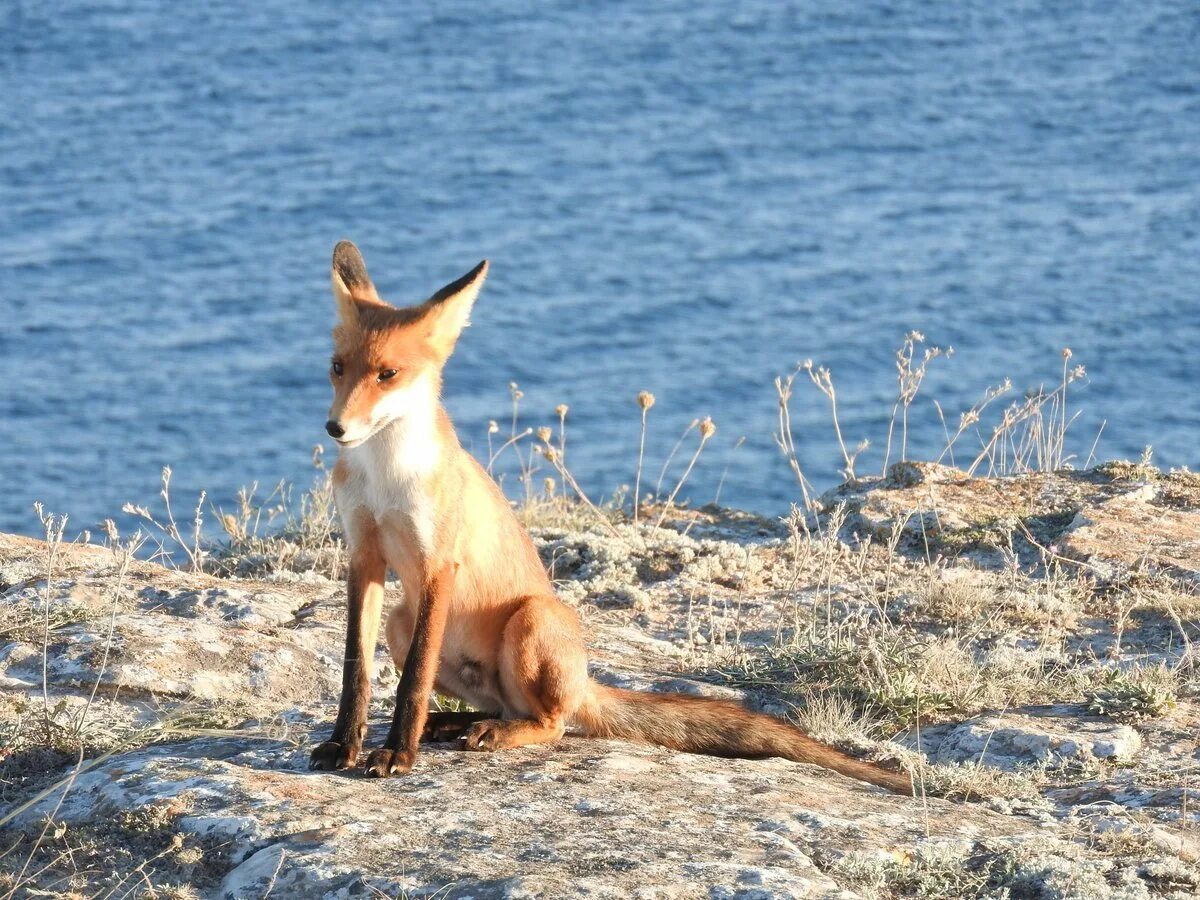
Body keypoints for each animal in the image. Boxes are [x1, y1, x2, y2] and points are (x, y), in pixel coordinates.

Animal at [307, 241, 907, 796]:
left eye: (387, 374)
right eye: (337, 368)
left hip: (530, 618)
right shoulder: (364, 555)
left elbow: (411, 682)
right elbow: (356, 671)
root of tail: (585, 679)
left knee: (551, 722)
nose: (336, 428)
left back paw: (485, 732)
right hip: (401, 620)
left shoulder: (438, 566)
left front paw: (396, 754)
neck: (384, 479)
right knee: (502, 706)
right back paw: (452, 723)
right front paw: (344, 744)